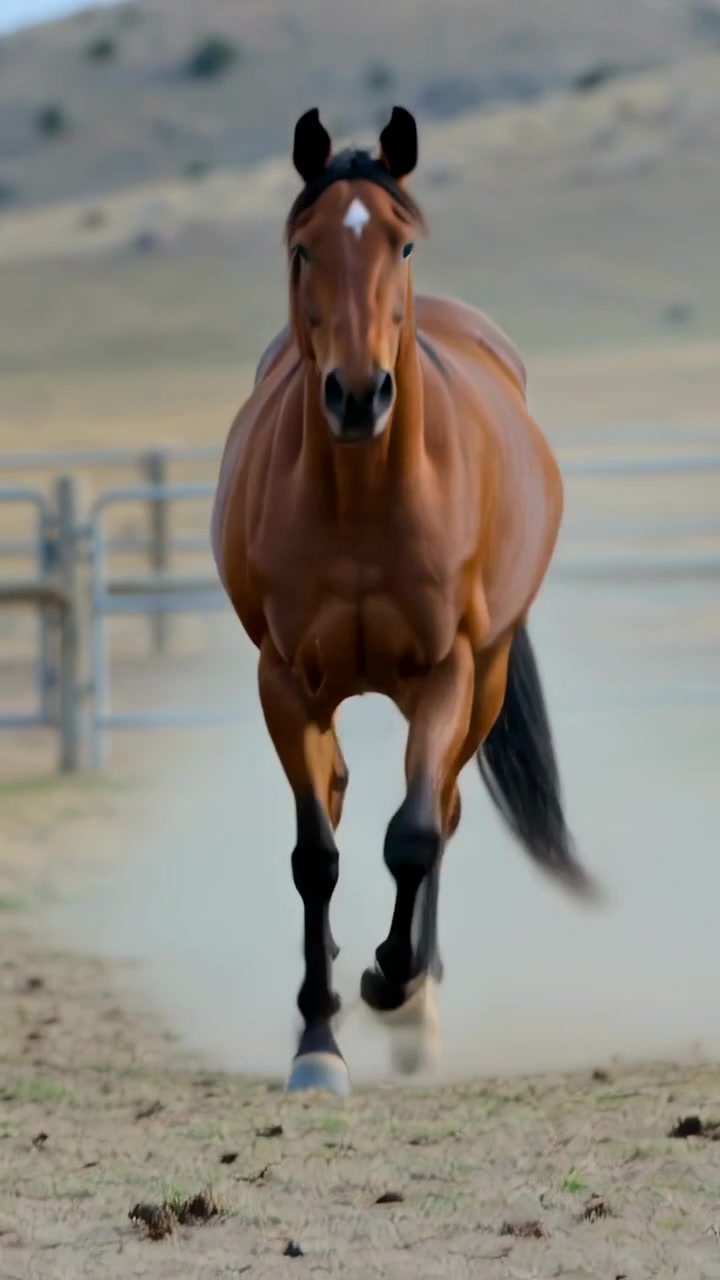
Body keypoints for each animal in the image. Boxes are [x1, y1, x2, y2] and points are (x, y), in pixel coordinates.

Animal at [211, 106, 598, 1096]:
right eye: (303, 247)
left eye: (405, 242)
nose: (357, 395)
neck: (363, 501)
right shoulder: (284, 681)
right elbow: (317, 856)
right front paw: (318, 1040)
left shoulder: (449, 671)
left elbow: (414, 836)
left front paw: (395, 985)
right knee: (342, 799)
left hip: (484, 681)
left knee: (444, 816)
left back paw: (417, 998)